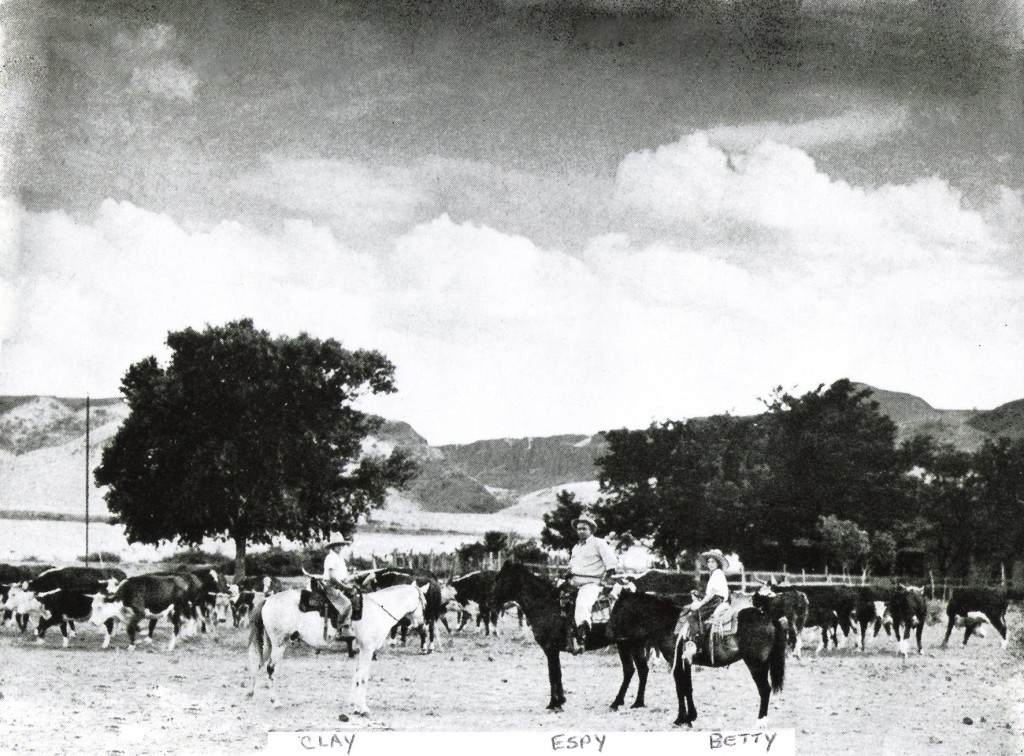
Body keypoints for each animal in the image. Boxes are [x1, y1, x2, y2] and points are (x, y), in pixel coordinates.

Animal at [247, 581, 423, 712]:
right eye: (424, 601)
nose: (420, 624)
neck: (378, 609)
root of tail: (268, 600)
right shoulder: (367, 649)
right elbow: (363, 677)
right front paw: (363, 708)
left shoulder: (361, 649)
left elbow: (357, 675)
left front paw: (353, 705)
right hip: (280, 644)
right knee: (271, 668)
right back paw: (275, 701)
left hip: (269, 644)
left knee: (258, 664)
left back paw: (250, 693)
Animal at [489, 561, 679, 712]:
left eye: (500, 579)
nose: (489, 601)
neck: (547, 604)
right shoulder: (553, 650)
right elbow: (557, 673)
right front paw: (560, 700)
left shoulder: (550, 649)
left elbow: (553, 674)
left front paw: (554, 704)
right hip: (632, 643)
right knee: (639, 670)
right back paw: (632, 703)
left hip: (650, 644)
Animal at [675, 590, 786, 721]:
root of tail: (769, 618)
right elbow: (687, 687)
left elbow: (681, 688)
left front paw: (681, 718)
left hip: (756, 665)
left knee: (764, 689)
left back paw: (760, 720)